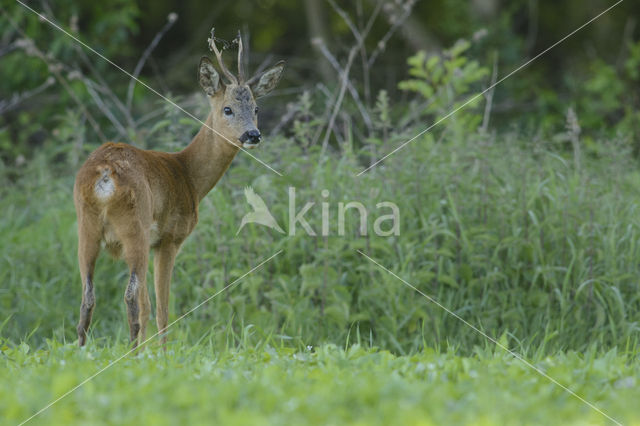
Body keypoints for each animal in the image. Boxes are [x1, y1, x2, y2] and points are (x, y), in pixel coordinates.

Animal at [72, 30, 284, 350]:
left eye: (256, 108)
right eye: (228, 109)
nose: (253, 134)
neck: (188, 175)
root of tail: (105, 175)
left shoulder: (154, 242)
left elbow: (149, 306)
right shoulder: (169, 238)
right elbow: (161, 308)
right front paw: (162, 354)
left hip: (86, 228)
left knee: (88, 296)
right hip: (135, 227)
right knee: (130, 296)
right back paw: (132, 352)